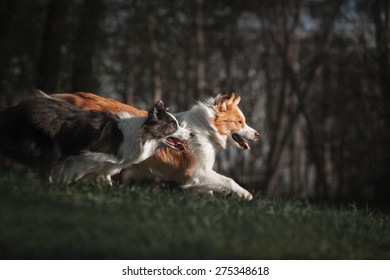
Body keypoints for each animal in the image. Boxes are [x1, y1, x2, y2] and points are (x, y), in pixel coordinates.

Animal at [0, 96, 192, 184]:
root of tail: (14, 108)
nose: (192, 134)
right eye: (173, 125)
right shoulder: (80, 162)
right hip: (46, 148)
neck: (142, 135)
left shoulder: (105, 169)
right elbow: (67, 179)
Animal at [45, 92, 258, 199]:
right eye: (240, 122)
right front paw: (246, 194)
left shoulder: (197, 177)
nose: (258, 134)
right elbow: (228, 180)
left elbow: (210, 192)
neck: (206, 128)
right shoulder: (196, 172)